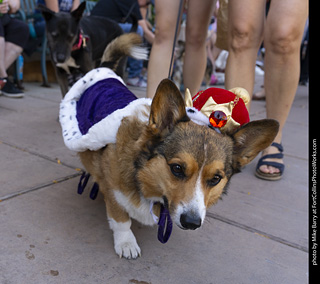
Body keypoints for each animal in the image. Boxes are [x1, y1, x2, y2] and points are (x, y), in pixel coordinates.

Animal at [59, 33, 278, 260]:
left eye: (216, 178)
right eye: (177, 168)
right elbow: (121, 219)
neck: (144, 176)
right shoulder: (114, 192)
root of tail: (104, 71)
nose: (191, 223)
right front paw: (126, 243)